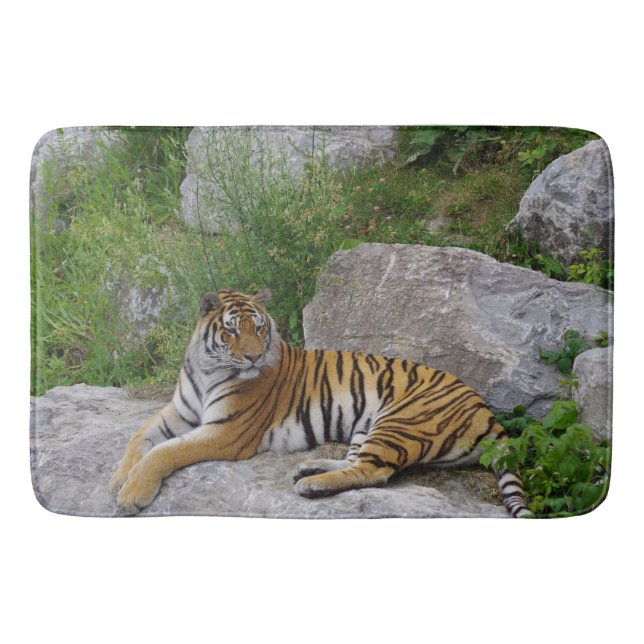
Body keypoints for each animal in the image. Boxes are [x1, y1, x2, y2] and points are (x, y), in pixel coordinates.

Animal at [110, 288, 531, 517]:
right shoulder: (178, 411)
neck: (207, 368)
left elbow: (165, 453)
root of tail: (485, 410)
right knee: (356, 462)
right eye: (231, 331)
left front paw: (132, 493)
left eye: (259, 327)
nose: (253, 357)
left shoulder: (226, 432)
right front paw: (118, 478)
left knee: (374, 473)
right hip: (367, 425)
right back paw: (309, 469)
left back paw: (312, 486)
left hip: (399, 421)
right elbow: (139, 437)